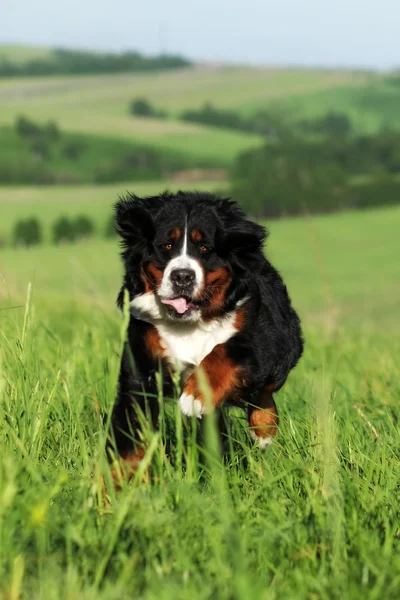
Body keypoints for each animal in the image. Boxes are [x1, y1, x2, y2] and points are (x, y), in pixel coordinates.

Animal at [109, 190, 304, 476]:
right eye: (166, 245)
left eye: (204, 248)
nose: (182, 276)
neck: (188, 324)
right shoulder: (142, 368)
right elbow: (131, 433)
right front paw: (121, 480)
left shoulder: (261, 341)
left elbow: (225, 351)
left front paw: (196, 395)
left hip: (282, 351)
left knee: (263, 395)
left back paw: (264, 432)